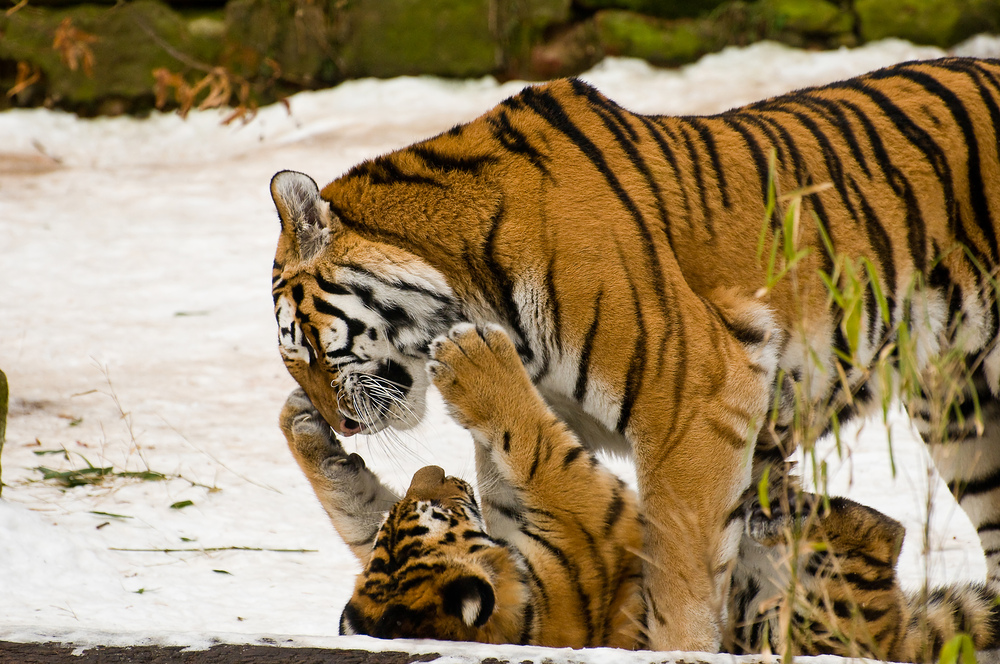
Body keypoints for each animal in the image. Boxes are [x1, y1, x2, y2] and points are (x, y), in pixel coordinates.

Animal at [270, 57, 1000, 648]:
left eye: (303, 343)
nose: (338, 422)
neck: (469, 284)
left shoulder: (696, 398)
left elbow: (678, 572)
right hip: (962, 410)